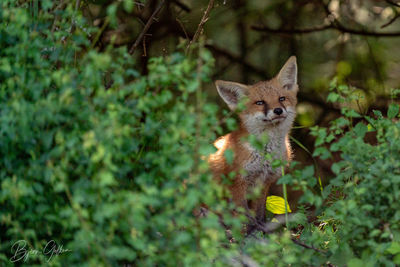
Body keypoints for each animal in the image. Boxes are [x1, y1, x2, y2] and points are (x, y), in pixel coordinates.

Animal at [209, 56, 296, 228]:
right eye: (260, 103)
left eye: (281, 99)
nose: (278, 110)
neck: (265, 153)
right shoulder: (237, 182)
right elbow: (244, 216)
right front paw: (248, 232)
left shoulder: (265, 182)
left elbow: (259, 213)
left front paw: (261, 229)